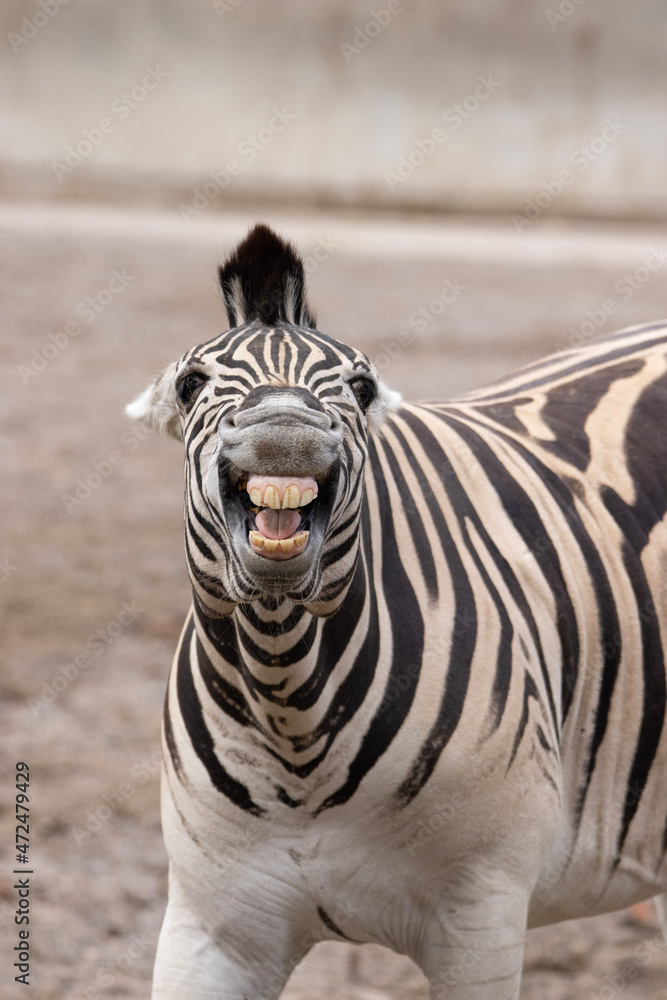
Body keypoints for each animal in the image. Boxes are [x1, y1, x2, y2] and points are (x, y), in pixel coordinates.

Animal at [127, 224, 667, 999]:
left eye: (360, 386)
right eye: (190, 383)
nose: (285, 432)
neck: (292, 717)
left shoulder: (481, 915)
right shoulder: (211, 923)